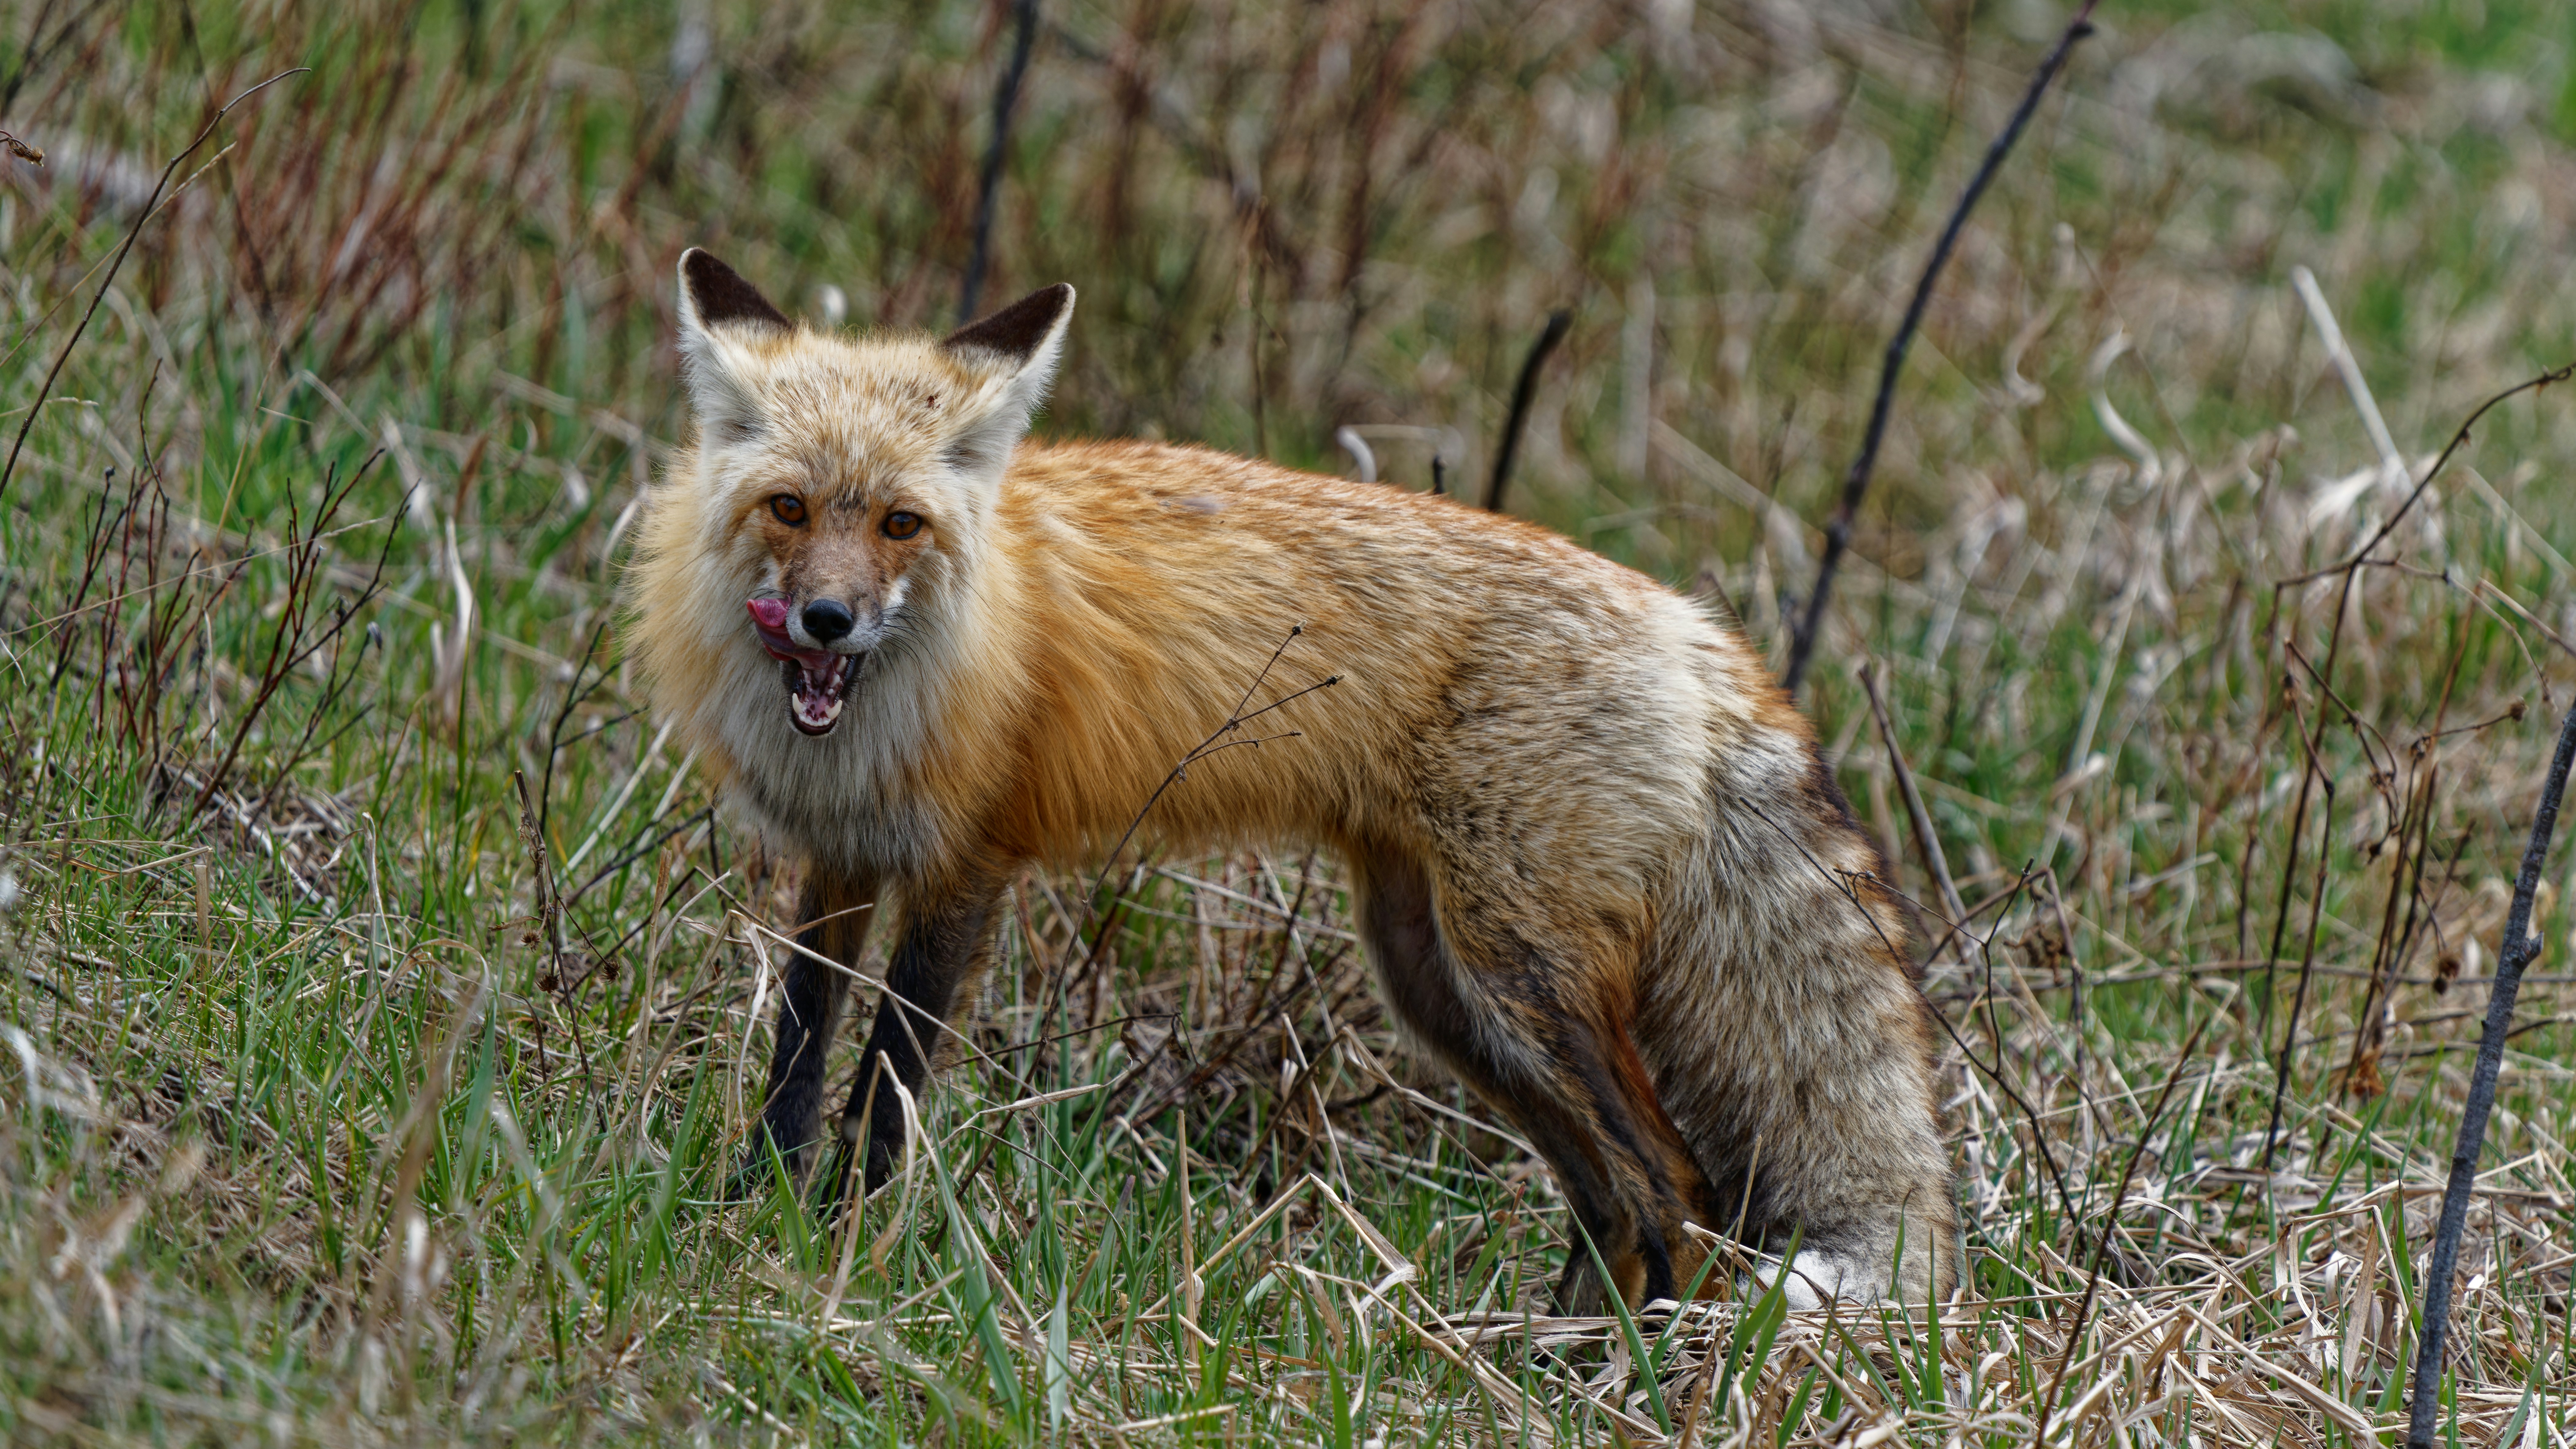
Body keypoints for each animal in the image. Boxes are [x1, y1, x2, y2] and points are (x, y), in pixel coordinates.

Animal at [626, 248, 1957, 1311]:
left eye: (900, 524)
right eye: (790, 507)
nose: (829, 619)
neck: (874, 715)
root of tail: (1695, 627)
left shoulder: (966, 869)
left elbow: (884, 1090)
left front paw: (844, 1242)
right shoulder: (842, 855)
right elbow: (799, 1059)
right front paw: (749, 1216)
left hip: (1520, 972)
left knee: (1673, 1182)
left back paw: (1620, 1377)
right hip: (1446, 989)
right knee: (1617, 1196)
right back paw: (1541, 1359)